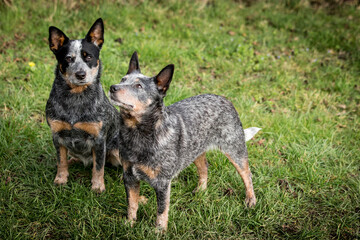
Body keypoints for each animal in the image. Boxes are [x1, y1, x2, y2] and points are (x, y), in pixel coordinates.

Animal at [45, 17, 119, 192]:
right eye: (68, 58)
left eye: (88, 57)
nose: (80, 74)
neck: (76, 98)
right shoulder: (57, 136)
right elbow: (61, 161)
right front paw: (60, 179)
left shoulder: (99, 139)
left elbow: (98, 167)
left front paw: (97, 187)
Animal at [108, 52, 260, 231]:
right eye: (123, 79)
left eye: (139, 86)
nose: (113, 87)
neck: (138, 135)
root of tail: (225, 99)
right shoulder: (130, 177)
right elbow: (132, 203)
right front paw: (129, 224)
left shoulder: (162, 183)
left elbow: (161, 210)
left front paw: (159, 231)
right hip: (195, 151)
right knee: (204, 168)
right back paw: (201, 190)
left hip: (234, 149)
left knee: (246, 174)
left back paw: (251, 200)